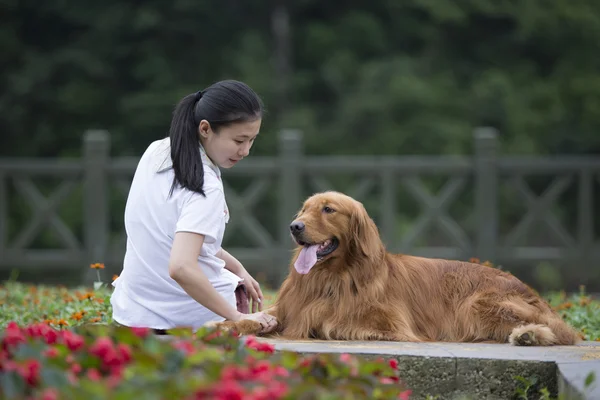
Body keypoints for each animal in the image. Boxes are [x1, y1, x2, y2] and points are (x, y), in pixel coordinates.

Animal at [214, 192, 580, 346]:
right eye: (303, 209)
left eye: (329, 209)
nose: (295, 226)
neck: (333, 276)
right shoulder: (289, 306)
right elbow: (253, 318)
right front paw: (225, 325)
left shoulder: (391, 324)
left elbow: (332, 322)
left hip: (477, 303)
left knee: (563, 333)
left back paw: (530, 335)